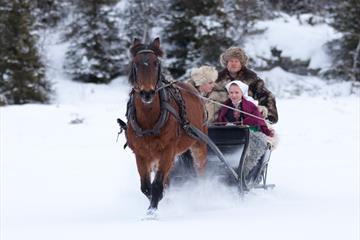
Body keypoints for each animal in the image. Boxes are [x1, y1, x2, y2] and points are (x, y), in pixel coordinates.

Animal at [125, 38, 207, 216]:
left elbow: (156, 185)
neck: (149, 121)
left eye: (156, 63)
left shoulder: (168, 150)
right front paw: (156, 204)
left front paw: (152, 212)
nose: (147, 93)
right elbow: (146, 187)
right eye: (136, 64)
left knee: (200, 170)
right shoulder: (141, 154)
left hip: (199, 143)